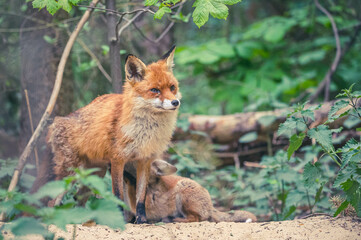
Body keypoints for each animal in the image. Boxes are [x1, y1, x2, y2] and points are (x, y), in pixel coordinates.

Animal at [31, 46, 180, 223]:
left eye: (172, 87)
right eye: (155, 90)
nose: (175, 102)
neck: (146, 132)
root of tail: (55, 122)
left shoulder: (144, 160)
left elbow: (141, 197)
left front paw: (141, 220)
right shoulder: (117, 159)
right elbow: (118, 195)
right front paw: (121, 220)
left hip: (94, 174)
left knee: (78, 200)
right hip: (70, 172)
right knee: (52, 201)